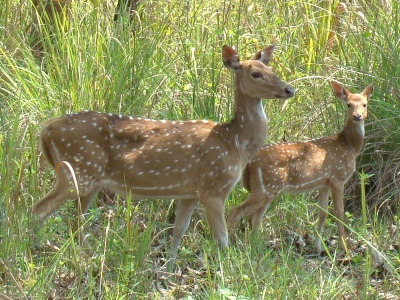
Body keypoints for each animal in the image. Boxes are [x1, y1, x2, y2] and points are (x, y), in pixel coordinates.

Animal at [32, 45, 294, 270]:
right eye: (256, 74)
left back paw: (83, 258)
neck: (234, 143)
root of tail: (46, 129)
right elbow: (221, 238)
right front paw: (225, 272)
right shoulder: (214, 187)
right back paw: (34, 251)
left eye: (272, 69)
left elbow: (179, 231)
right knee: (39, 209)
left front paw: (168, 268)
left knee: (75, 219)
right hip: (78, 170)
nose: (289, 89)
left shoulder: (190, 193)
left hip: (89, 181)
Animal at [228, 81, 376, 253]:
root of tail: (249, 164)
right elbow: (339, 212)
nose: (357, 116)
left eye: (365, 104)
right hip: (267, 187)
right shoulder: (338, 178)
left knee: (254, 218)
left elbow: (323, 213)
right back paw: (232, 248)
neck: (348, 146)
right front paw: (344, 248)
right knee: (235, 212)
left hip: (266, 189)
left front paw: (318, 247)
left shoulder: (324, 184)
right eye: (348, 104)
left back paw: (257, 248)